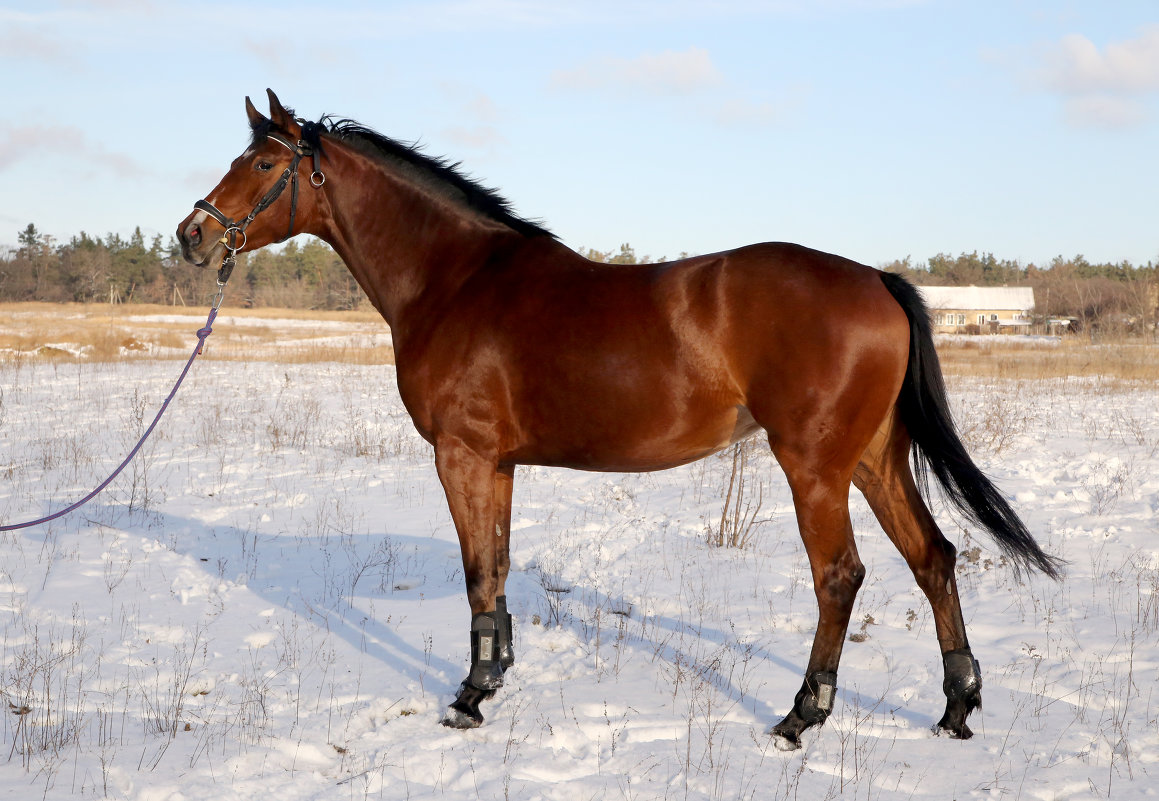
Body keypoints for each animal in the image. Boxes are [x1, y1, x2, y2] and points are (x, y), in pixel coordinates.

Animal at [178, 90, 1061, 751]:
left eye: (262, 164)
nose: (191, 234)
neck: (455, 280)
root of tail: (876, 280)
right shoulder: (498, 461)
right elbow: (498, 565)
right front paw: (493, 678)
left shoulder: (461, 454)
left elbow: (476, 569)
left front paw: (466, 698)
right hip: (874, 458)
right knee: (933, 558)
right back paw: (954, 708)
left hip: (814, 465)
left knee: (840, 576)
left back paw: (798, 716)